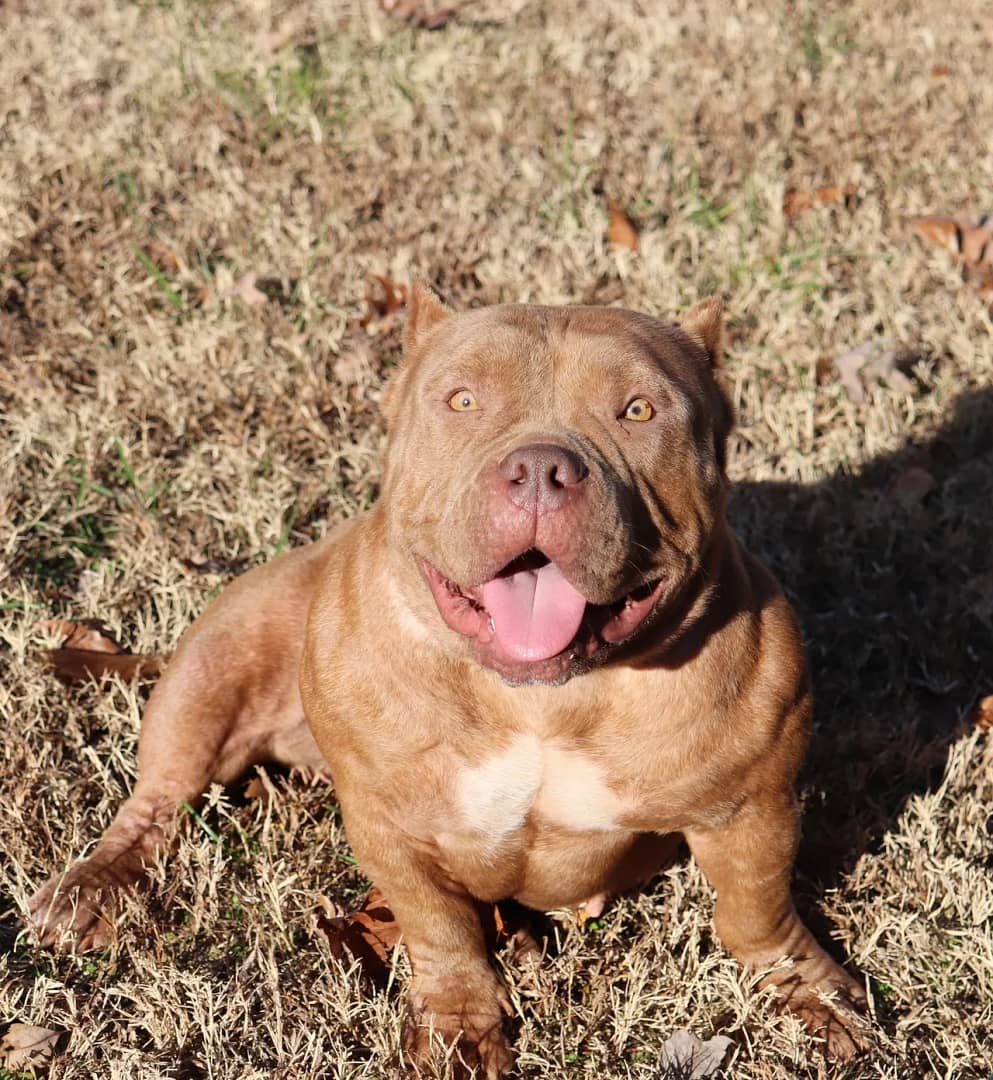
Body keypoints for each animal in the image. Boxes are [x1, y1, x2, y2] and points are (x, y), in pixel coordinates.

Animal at [29, 285, 868, 1071]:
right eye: (461, 400)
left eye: (638, 410)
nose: (539, 467)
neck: (543, 701)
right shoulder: (391, 830)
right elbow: (441, 930)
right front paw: (461, 1025)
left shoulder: (751, 811)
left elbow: (754, 912)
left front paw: (807, 994)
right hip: (216, 662)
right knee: (160, 800)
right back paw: (92, 888)